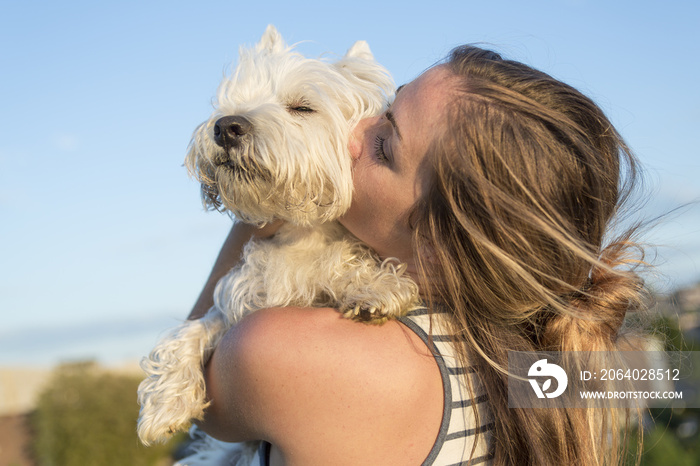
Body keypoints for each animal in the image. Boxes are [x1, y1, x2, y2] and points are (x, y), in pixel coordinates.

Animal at [137, 26, 422, 462]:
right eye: (234, 100)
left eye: (302, 107)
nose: (226, 126)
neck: (301, 234)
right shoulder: (240, 303)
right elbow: (192, 331)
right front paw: (165, 404)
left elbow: (344, 263)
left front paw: (376, 287)